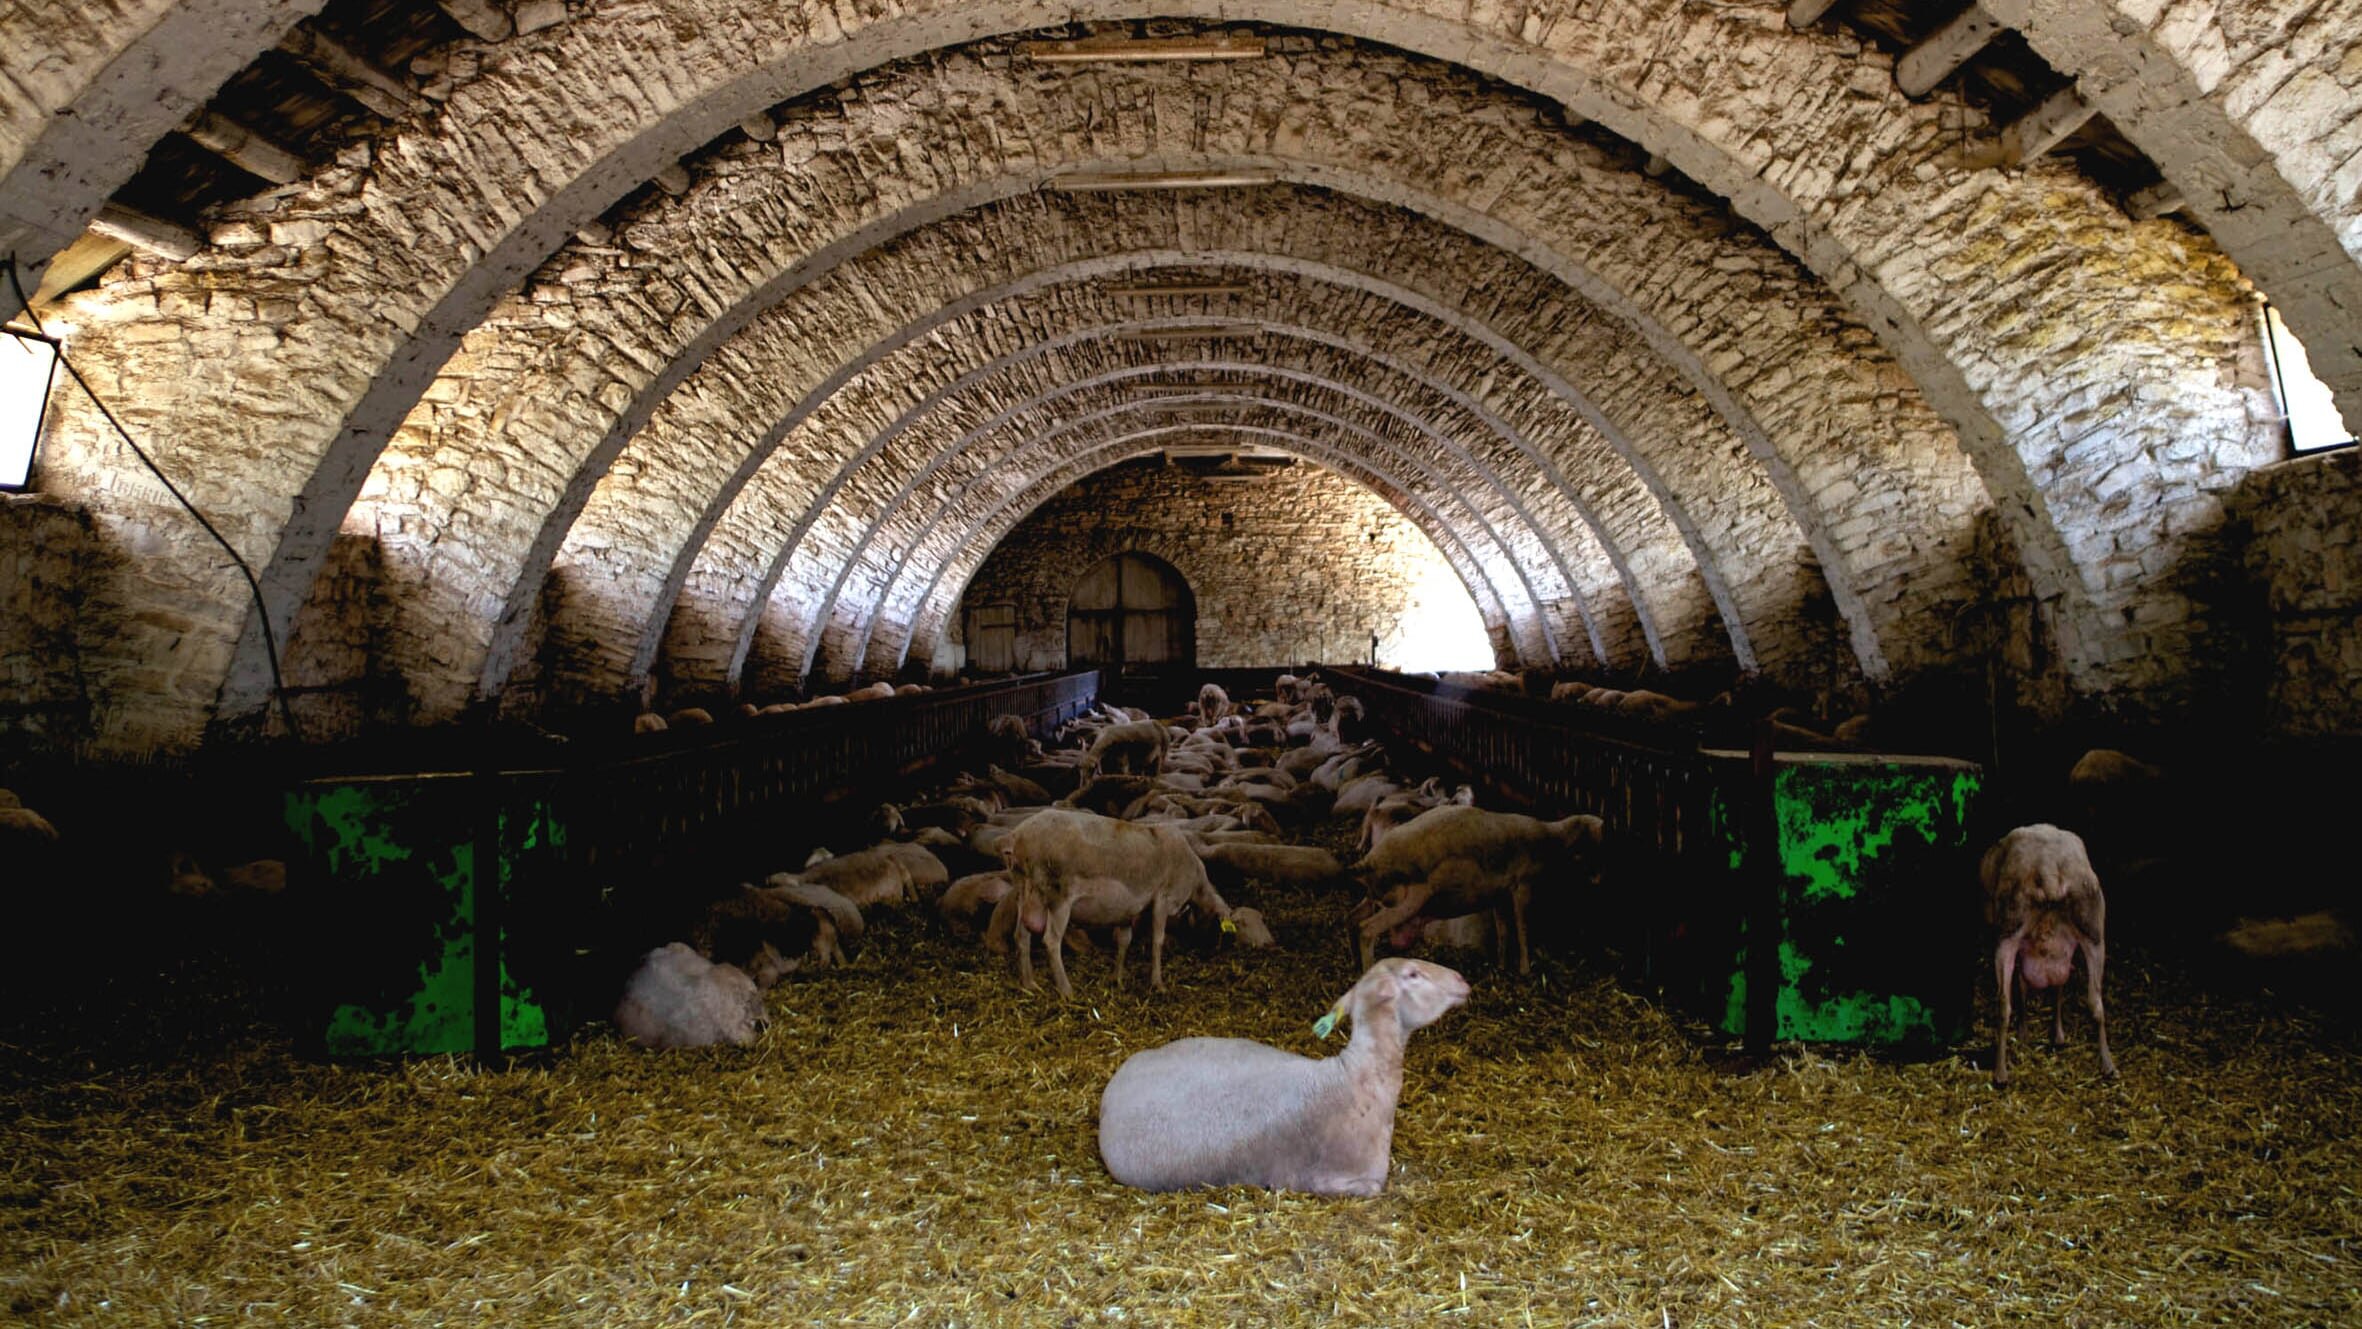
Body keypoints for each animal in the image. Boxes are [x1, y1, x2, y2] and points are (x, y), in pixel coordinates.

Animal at [1095, 958, 1464, 1194]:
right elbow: (1371, 1189)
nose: (1461, 979)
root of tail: (1113, 1089)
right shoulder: (1328, 1180)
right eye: (1413, 974)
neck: (1352, 1078)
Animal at [1351, 802, 1606, 977]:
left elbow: (1504, 930)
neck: (1550, 838)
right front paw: (1525, 969)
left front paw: (1501, 966)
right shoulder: (1522, 886)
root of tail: (1370, 861)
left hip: (1375, 896)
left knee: (1354, 916)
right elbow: (1522, 929)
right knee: (1366, 929)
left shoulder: (1499, 894)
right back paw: (1368, 971)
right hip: (1408, 899)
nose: (1598, 879)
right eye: (1598, 843)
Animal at [1974, 821, 2125, 1090]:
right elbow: (2058, 987)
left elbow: (2024, 987)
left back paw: (2000, 1072)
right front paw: (2057, 1035)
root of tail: (2048, 870)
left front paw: (2030, 1034)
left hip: (2009, 927)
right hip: (2093, 925)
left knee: (2004, 1003)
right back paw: (2108, 1066)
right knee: (2095, 1002)